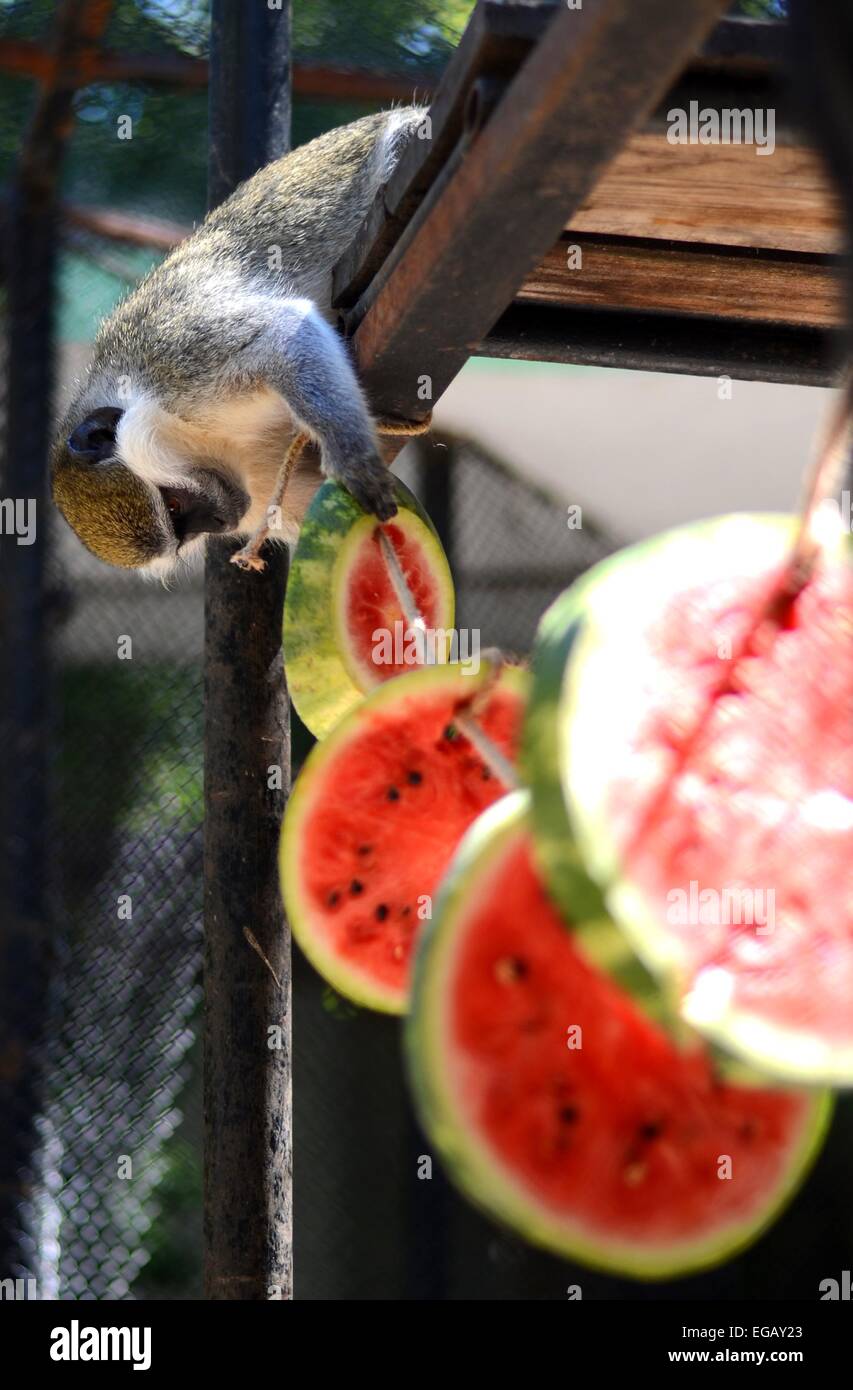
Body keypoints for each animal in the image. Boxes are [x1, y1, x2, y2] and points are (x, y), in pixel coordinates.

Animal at [51, 105, 425, 575]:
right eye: (183, 532)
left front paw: (352, 455)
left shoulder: (178, 360)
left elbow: (281, 334)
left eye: (173, 506)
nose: (220, 523)